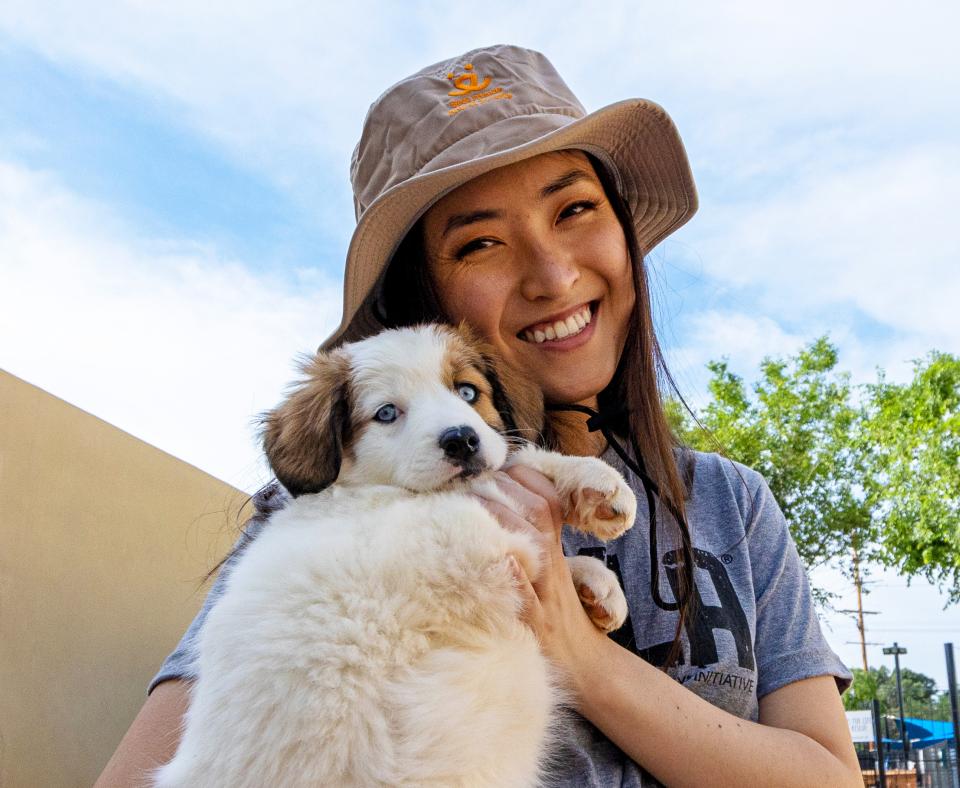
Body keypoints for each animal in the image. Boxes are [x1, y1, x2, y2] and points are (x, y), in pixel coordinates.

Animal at [156, 324, 636, 784]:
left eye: (467, 392)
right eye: (386, 413)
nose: (461, 441)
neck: (375, 491)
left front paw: (599, 567)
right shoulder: (446, 534)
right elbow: (508, 478)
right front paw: (589, 483)